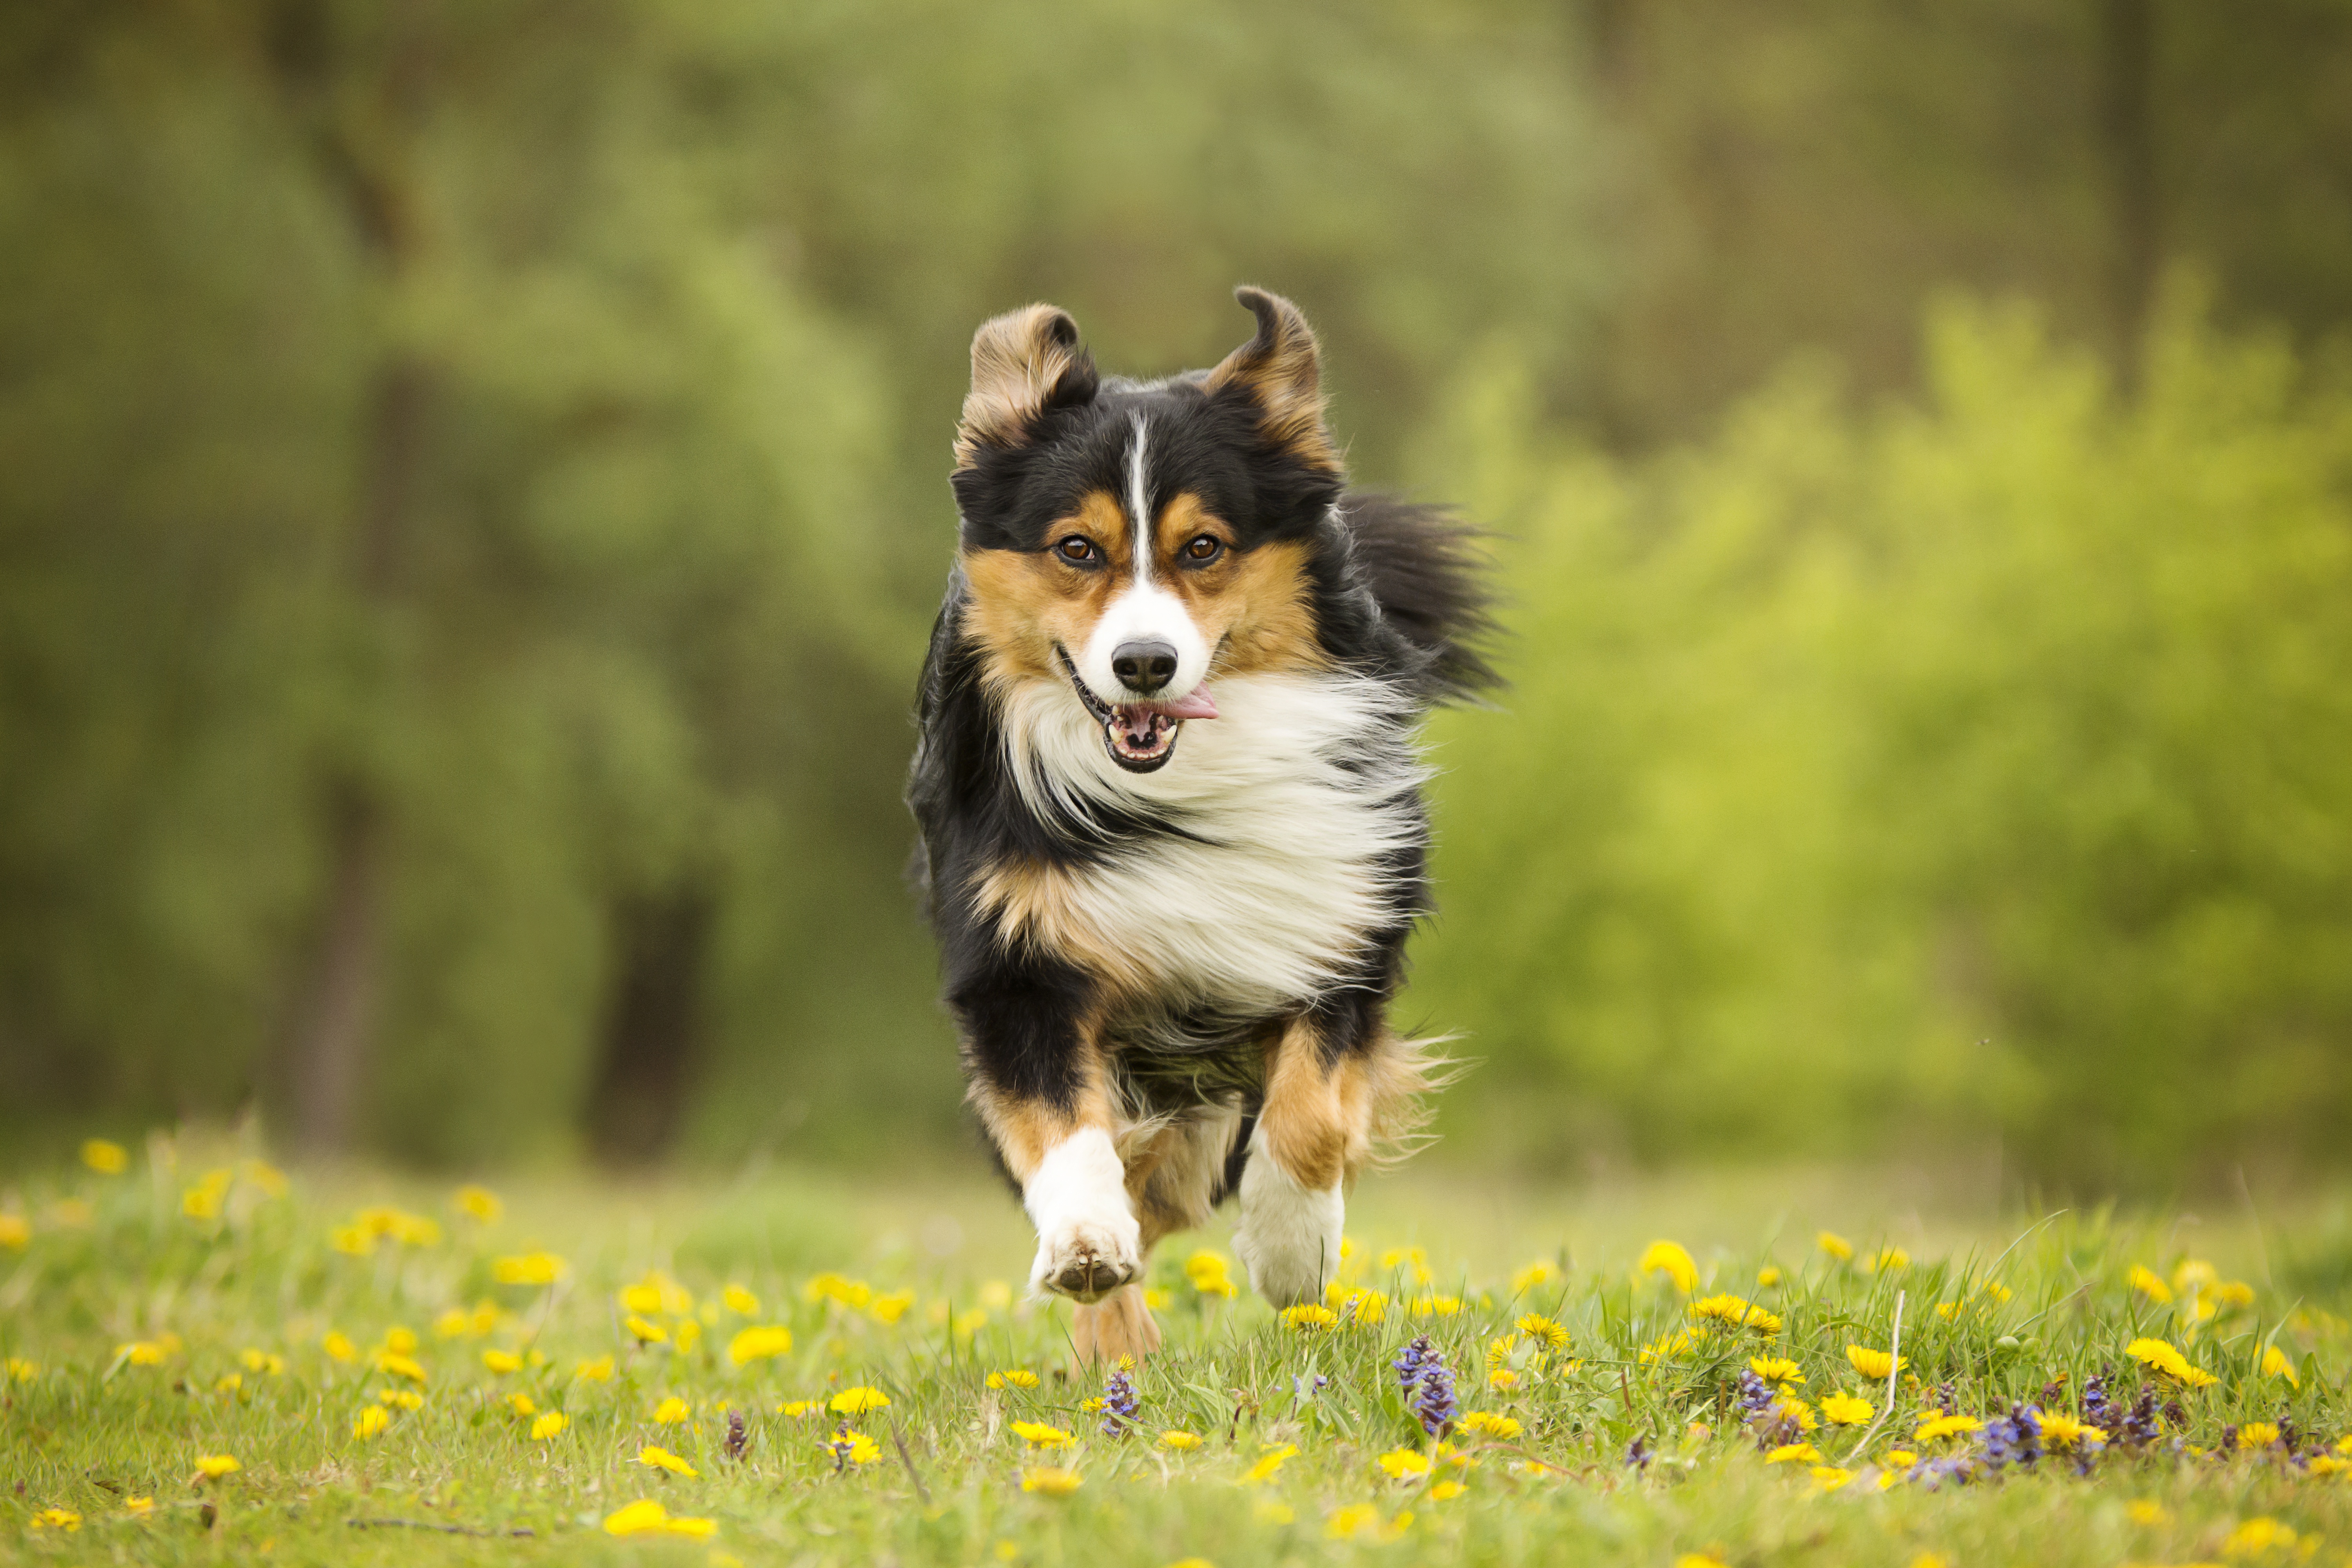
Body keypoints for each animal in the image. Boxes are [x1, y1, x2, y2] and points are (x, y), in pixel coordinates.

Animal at [908, 285, 1496, 1363]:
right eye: (1077, 549)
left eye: (1204, 548)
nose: (1143, 664)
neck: (1171, 789)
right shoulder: (1012, 961)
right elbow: (1065, 1127)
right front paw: (1087, 1247)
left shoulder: (1340, 917)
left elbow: (1313, 1115)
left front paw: (1294, 1251)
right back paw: (1117, 1346)